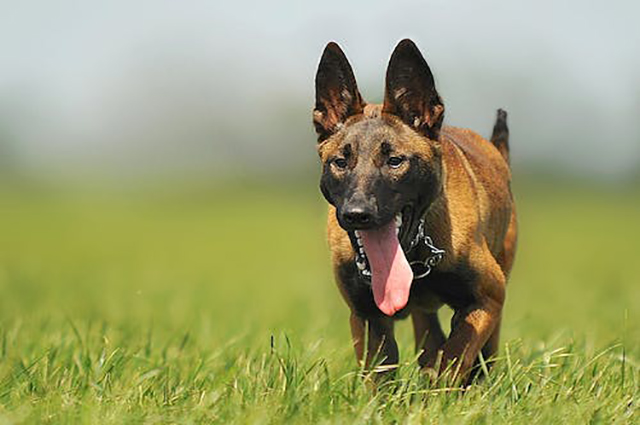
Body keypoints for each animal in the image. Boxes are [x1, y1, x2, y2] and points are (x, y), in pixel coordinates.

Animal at [312, 38, 516, 380]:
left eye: (395, 161)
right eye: (340, 162)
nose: (357, 214)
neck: (413, 252)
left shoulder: (487, 297)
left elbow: (456, 354)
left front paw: (442, 388)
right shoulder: (366, 315)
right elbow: (382, 372)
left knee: (481, 355)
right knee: (430, 336)